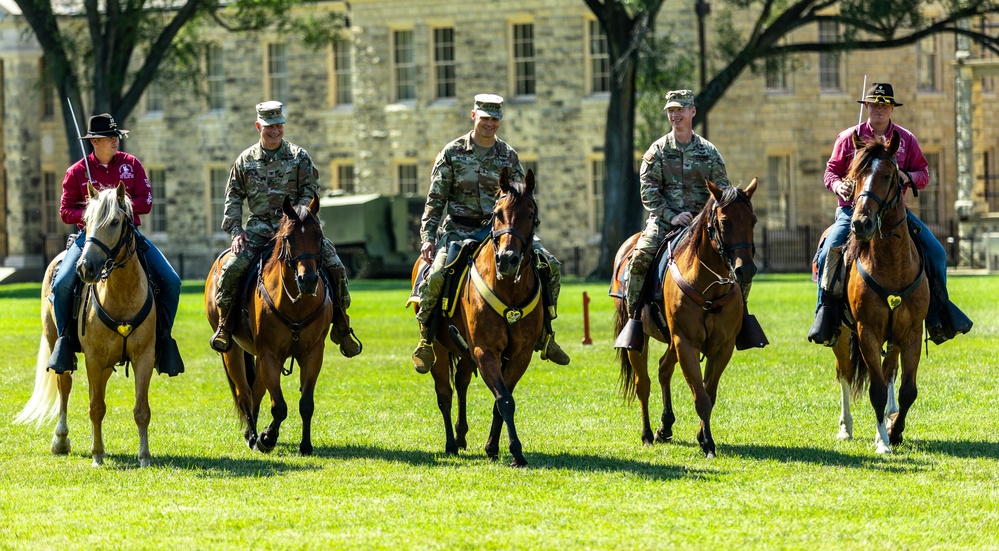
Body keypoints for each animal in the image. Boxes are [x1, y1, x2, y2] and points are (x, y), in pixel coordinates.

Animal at [14, 183, 158, 468]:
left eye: (114, 221)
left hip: (107, 362)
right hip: (57, 345)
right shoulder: (93, 357)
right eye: (87, 220)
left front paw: (144, 457)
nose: (85, 267)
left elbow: (141, 409)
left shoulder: (143, 356)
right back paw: (60, 439)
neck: (121, 294)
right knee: (65, 386)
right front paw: (97, 455)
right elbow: (95, 407)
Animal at [205, 196, 334, 454]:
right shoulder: (269, 354)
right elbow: (279, 407)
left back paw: (252, 434)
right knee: (244, 393)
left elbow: (306, 403)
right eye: (288, 237)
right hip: (232, 351)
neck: (295, 302)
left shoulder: (313, 353)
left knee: (256, 390)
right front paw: (266, 438)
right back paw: (253, 435)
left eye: (319, 235)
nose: (308, 280)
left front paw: (306, 445)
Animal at [410, 167, 544, 466]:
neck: (507, 287)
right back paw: (450, 443)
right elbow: (504, 400)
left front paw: (493, 446)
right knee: (445, 394)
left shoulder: (520, 354)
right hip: (439, 348)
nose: (508, 259)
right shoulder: (486, 351)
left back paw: (461, 436)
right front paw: (516, 451)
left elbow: (501, 400)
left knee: (461, 384)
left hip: (465, 352)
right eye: (497, 213)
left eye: (530, 214)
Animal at [608, 179, 756, 460]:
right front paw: (708, 443)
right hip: (639, 340)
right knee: (643, 384)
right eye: (724, 221)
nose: (747, 269)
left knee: (664, 369)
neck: (709, 286)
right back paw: (647, 434)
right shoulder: (685, 344)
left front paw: (702, 437)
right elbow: (701, 397)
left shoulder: (722, 348)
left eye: (753, 220)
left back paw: (665, 427)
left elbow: (709, 393)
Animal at [828, 133, 928, 452]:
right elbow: (876, 390)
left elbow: (906, 389)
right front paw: (883, 441)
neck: (892, 263)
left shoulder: (910, 333)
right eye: (855, 176)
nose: (861, 223)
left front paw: (894, 430)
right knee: (846, 374)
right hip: (842, 335)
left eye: (887, 175)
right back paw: (846, 427)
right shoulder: (867, 332)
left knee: (889, 372)